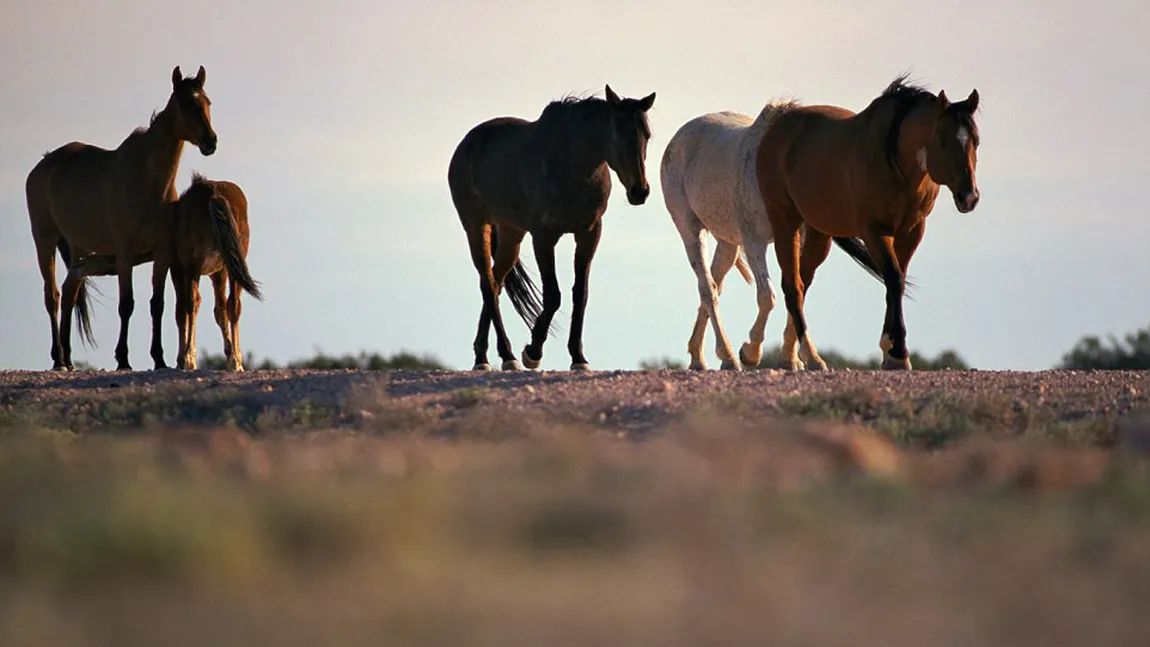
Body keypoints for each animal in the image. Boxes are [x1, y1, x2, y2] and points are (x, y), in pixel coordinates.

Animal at [24, 66, 217, 372]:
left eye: (207, 102)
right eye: (185, 103)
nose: (211, 141)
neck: (148, 182)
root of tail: (41, 167)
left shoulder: (162, 252)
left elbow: (157, 304)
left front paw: (159, 358)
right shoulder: (125, 252)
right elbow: (127, 304)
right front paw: (123, 359)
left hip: (78, 247)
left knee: (69, 292)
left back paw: (68, 359)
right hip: (45, 240)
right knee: (52, 296)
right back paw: (57, 359)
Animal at [75, 174, 263, 372]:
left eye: (88, 260)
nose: (77, 267)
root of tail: (214, 194)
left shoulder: (176, 266)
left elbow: (181, 311)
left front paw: (183, 358)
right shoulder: (218, 272)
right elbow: (219, 310)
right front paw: (229, 356)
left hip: (193, 264)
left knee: (193, 303)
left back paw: (191, 357)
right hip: (226, 263)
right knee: (232, 304)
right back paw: (234, 360)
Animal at [448, 83, 657, 372]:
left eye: (646, 134)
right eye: (616, 132)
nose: (640, 191)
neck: (572, 166)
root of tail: (467, 144)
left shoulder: (589, 234)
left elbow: (580, 294)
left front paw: (578, 358)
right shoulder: (544, 237)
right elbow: (553, 295)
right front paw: (532, 352)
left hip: (511, 235)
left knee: (495, 284)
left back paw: (485, 356)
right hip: (476, 226)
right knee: (488, 285)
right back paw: (506, 356)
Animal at [657, 104, 878, 372]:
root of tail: (679, 136)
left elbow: (796, 291)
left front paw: (799, 359)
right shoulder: (755, 241)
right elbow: (767, 296)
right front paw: (751, 352)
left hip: (728, 242)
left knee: (715, 285)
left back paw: (700, 356)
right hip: (691, 229)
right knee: (707, 288)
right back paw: (728, 358)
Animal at [754, 74, 979, 370]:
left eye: (976, 141)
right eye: (942, 141)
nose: (969, 197)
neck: (894, 159)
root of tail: (777, 129)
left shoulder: (912, 231)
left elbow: (897, 280)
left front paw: (890, 351)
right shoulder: (874, 231)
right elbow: (893, 278)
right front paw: (899, 352)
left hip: (819, 233)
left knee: (803, 281)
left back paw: (789, 357)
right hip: (785, 220)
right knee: (793, 286)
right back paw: (811, 357)